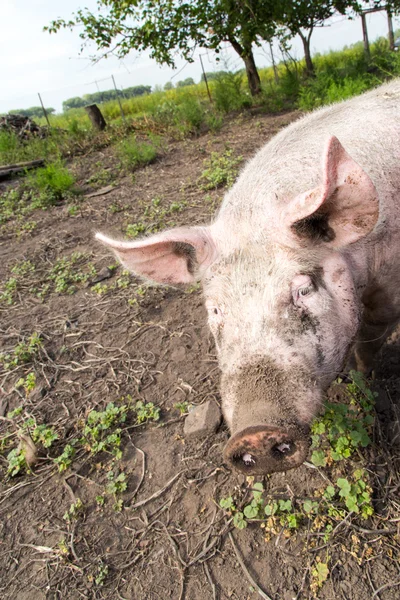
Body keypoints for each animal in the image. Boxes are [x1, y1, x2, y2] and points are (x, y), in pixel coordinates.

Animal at [97, 78, 400, 474]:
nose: (255, 430)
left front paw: (365, 384)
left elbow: (369, 347)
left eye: (303, 290)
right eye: (215, 310)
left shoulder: (388, 295)